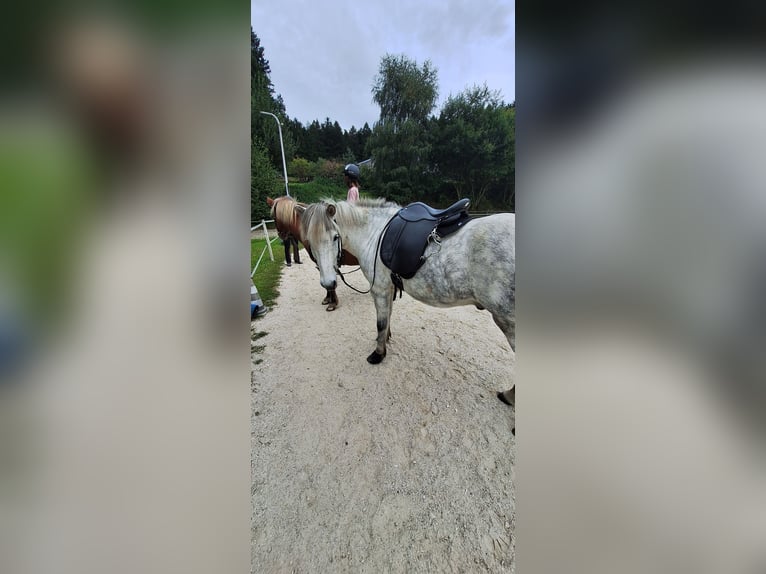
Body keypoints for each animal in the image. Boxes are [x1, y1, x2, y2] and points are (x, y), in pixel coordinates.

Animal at [298, 198, 515, 410]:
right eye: (309, 240)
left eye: (335, 237)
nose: (328, 283)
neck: (374, 234)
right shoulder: (389, 288)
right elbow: (388, 317)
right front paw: (385, 340)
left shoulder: (379, 289)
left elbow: (380, 322)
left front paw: (378, 354)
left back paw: (509, 397)